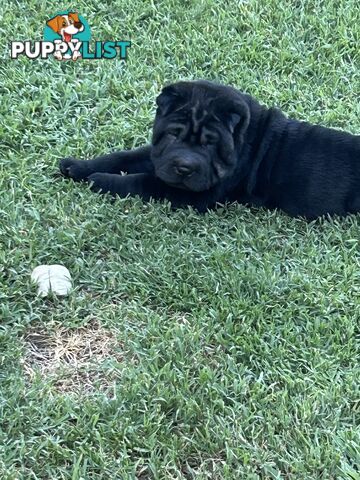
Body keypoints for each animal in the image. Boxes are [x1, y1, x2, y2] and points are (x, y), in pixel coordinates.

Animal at [59, 79, 360, 218]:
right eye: (173, 135)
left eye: (211, 144)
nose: (184, 167)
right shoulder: (159, 156)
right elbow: (127, 156)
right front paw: (78, 166)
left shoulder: (194, 194)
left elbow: (142, 181)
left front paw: (100, 180)